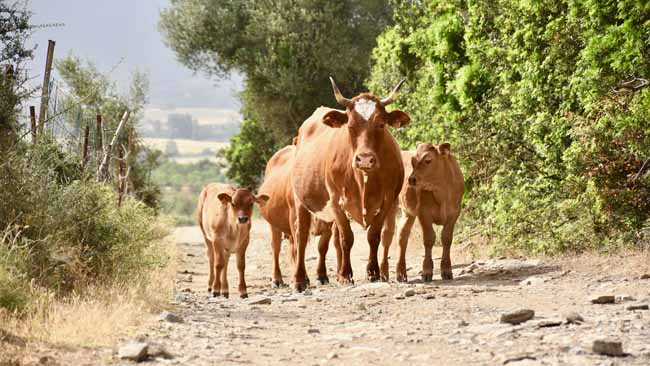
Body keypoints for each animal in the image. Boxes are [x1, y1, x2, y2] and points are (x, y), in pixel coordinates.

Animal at [256, 144, 332, 288]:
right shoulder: (295, 217)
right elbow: (299, 247)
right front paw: (302, 279)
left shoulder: (329, 222)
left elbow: (322, 247)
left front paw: (321, 276)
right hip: (274, 224)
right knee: (276, 248)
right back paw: (277, 279)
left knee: (292, 247)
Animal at [384, 142, 460, 282]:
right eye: (413, 160)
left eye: (428, 160)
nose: (411, 179)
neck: (442, 191)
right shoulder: (423, 213)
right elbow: (429, 239)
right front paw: (427, 271)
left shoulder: (454, 212)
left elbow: (447, 238)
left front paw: (447, 270)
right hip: (389, 205)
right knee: (387, 235)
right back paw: (383, 273)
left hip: (408, 213)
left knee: (402, 236)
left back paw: (401, 273)